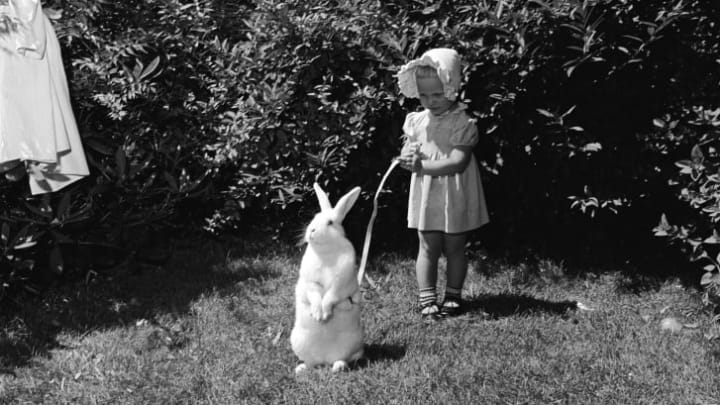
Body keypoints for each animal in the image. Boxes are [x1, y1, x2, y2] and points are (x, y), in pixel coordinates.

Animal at [288, 183, 362, 372]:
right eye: (314, 218)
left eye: (330, 223)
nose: (311, 230)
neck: (326, 250)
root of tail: (324, 359)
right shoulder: (311, 282)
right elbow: (315, 295)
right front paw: (318, 315)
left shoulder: (340, 283)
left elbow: (330, 296)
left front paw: (325, 313)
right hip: (298, 341)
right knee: (310, 363)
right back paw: (301, 370)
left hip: (353, 343)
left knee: (342, 358)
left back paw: (338, 367)